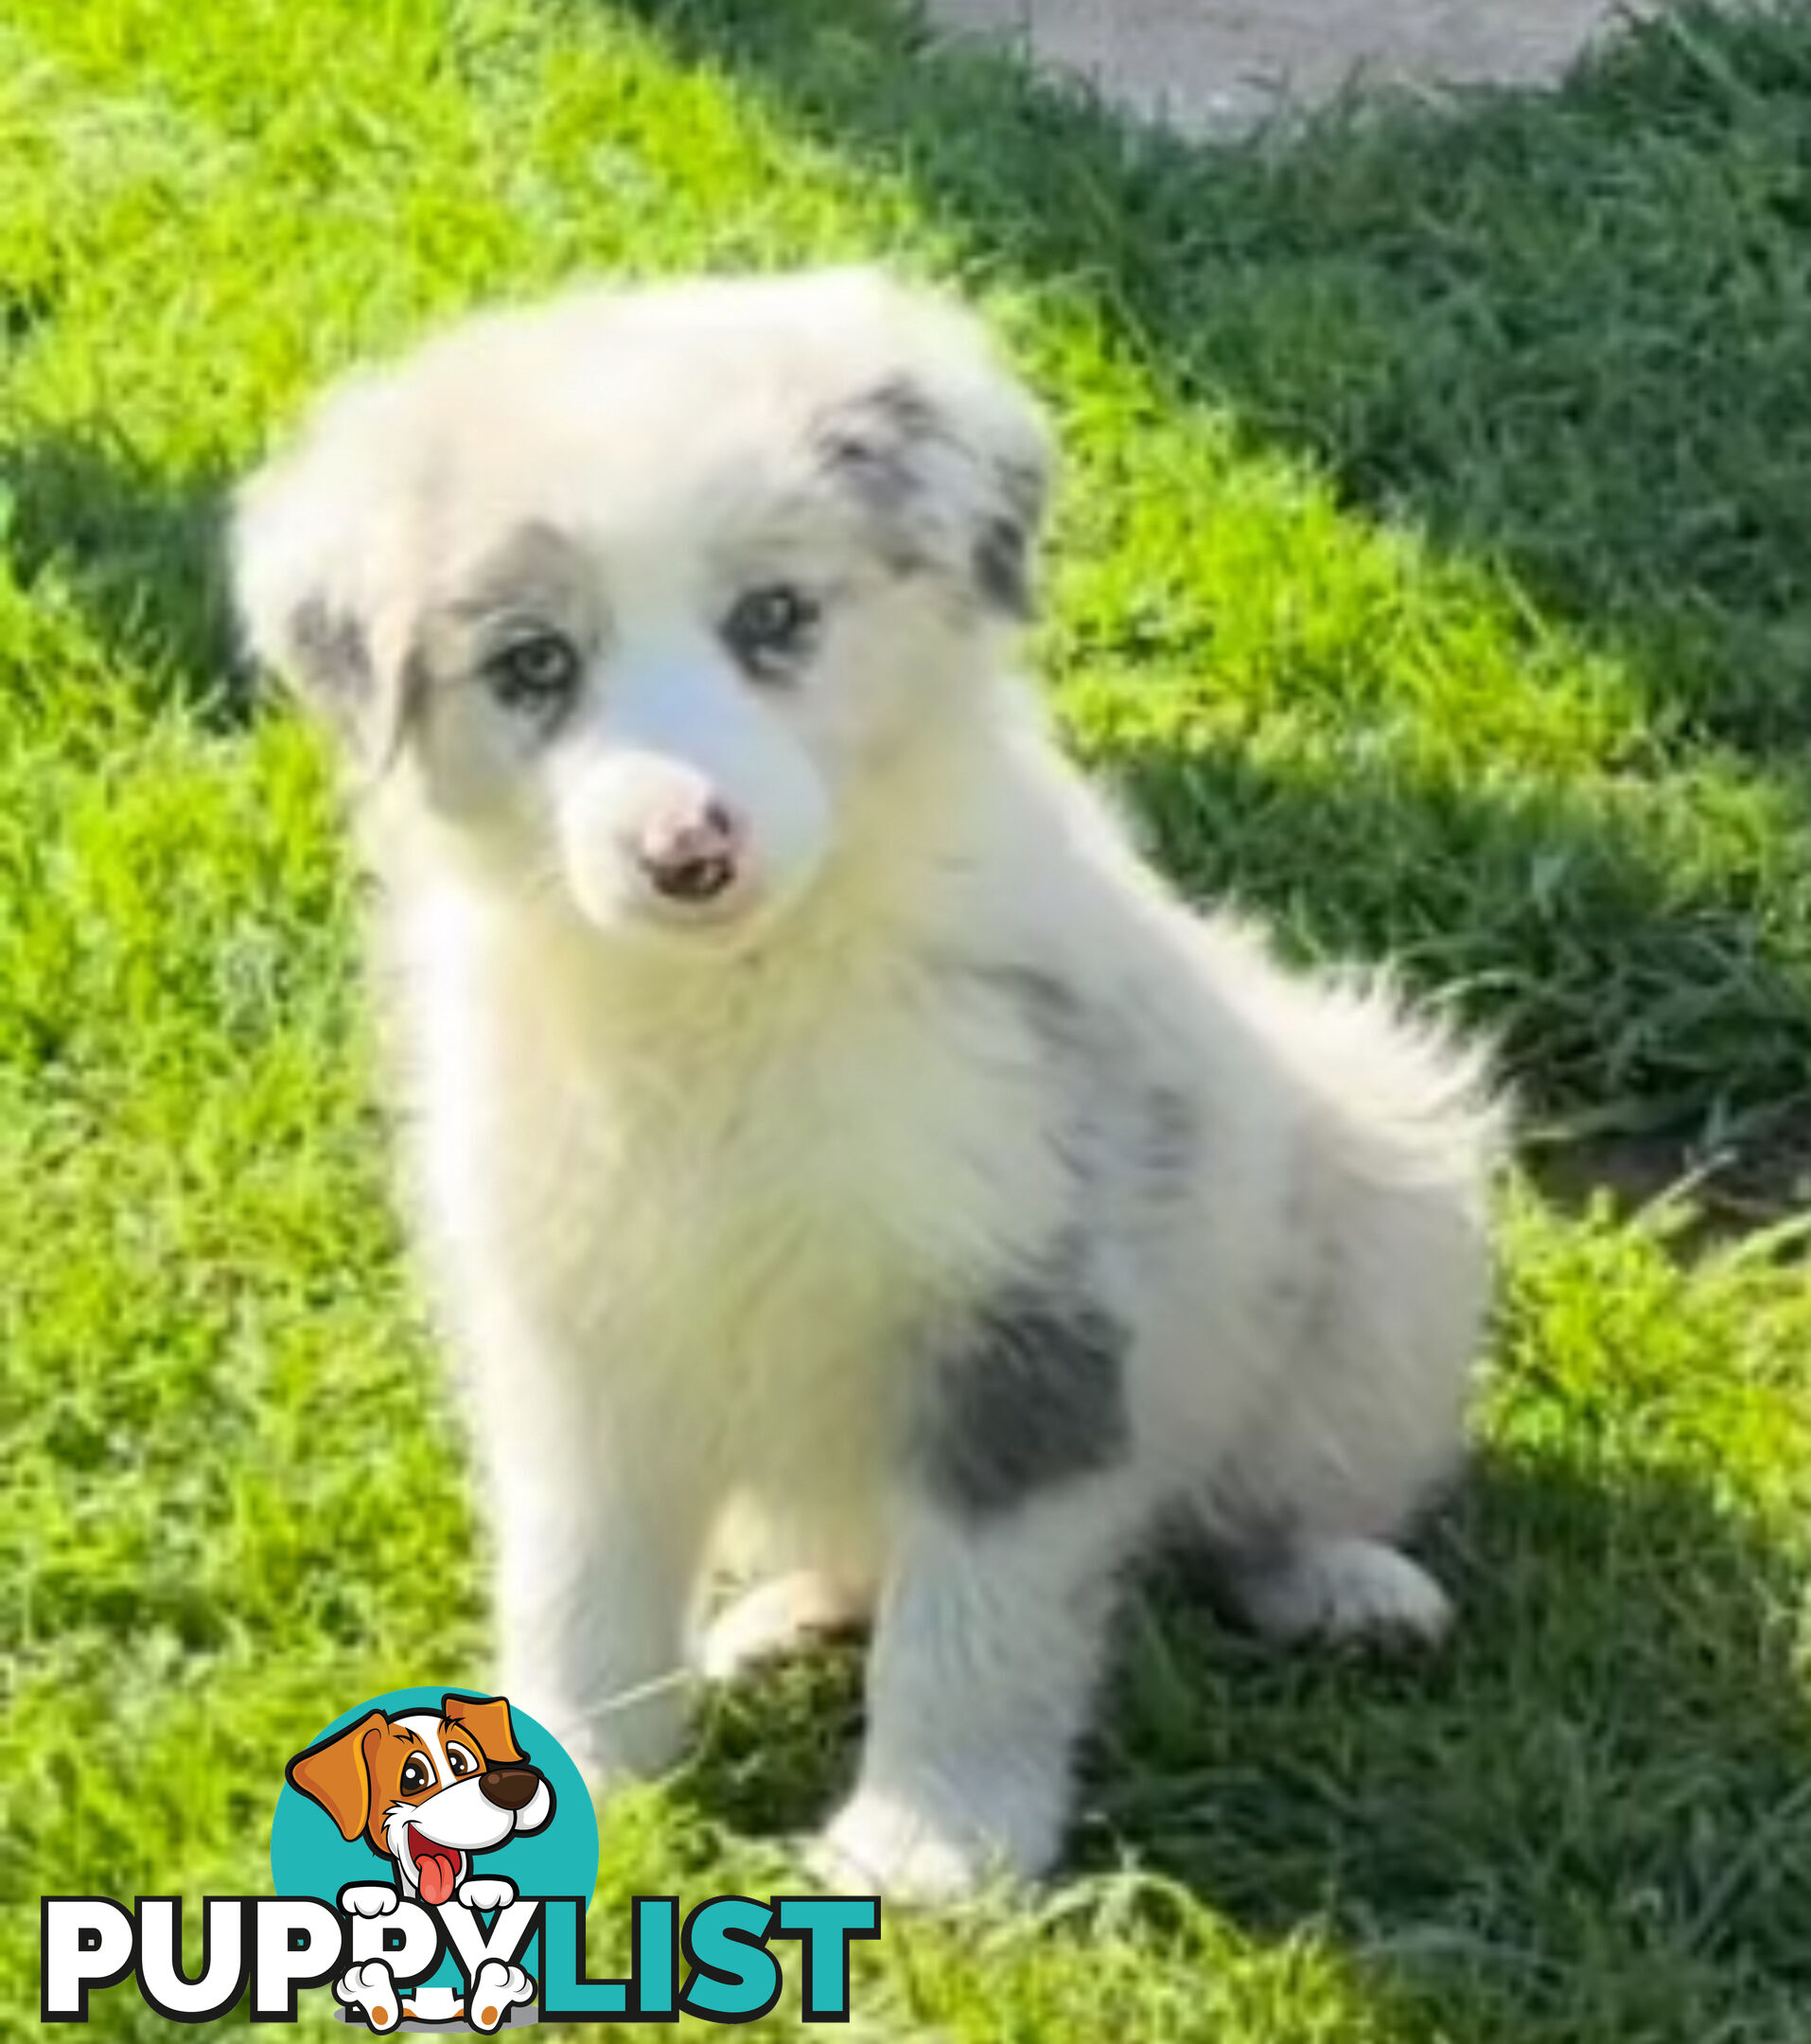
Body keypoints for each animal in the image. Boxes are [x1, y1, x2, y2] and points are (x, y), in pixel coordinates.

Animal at [230, 267, 1503, 1896]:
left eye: (773, 618)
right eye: (533, 665)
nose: (686, 851)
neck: (734, 1005)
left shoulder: (1021, 1304)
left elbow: (972, 1621)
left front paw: (929, 1854)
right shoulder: (577, 1322)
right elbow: (580, 1579)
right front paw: (584, 1781)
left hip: (1387, 1236)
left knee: (1267, 1494)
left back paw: (1347, 1589)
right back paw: (782, 1626)